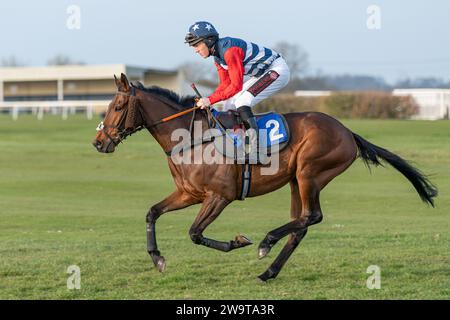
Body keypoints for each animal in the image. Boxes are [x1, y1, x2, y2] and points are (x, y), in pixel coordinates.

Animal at [92, 74, 436, 282]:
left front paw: (239, 241)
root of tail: (347, 131)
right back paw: (268, 271)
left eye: (118, 106)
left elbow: (195, 233)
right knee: (302, 225)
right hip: (297, 181)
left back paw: (266, 243)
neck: (192, 138)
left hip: (310, 173)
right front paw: (157, 258)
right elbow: (152, 212)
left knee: (312, 216)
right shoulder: (189, 194)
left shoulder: (220, 196)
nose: (99, 142)